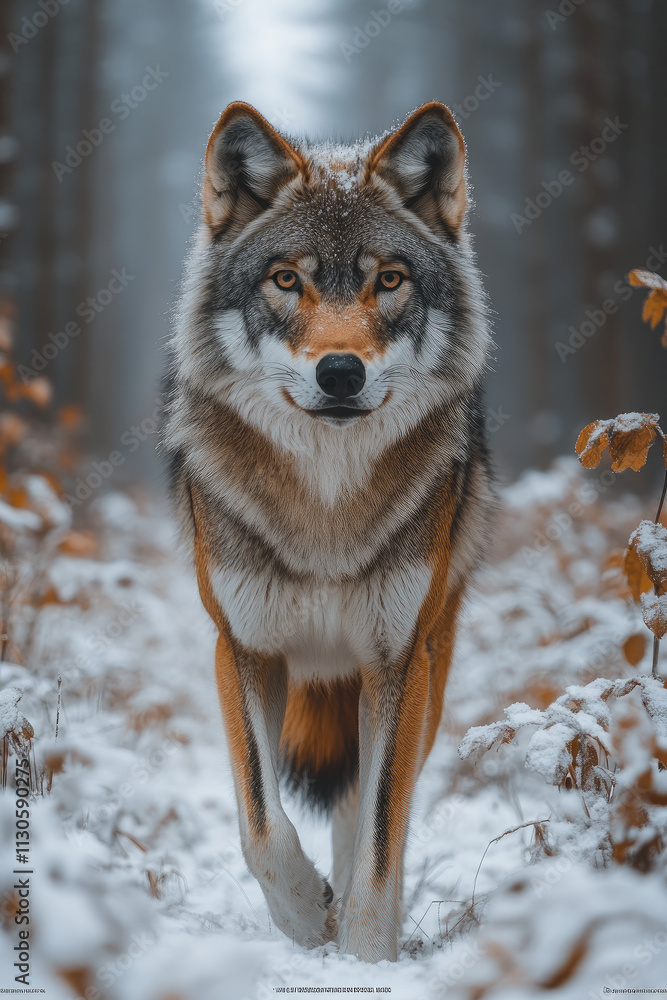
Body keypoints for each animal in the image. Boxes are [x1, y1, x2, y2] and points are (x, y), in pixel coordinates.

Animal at [164, 99, 492, 963]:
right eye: (287, 279)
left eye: (389, 279)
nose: (340, 372)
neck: (326, 509)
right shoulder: (244, 649)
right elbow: (259, 821)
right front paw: (304, 918)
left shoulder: (398, 661)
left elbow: (379, 831)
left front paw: (363, 952)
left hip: (419, 665)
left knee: (366, 806)